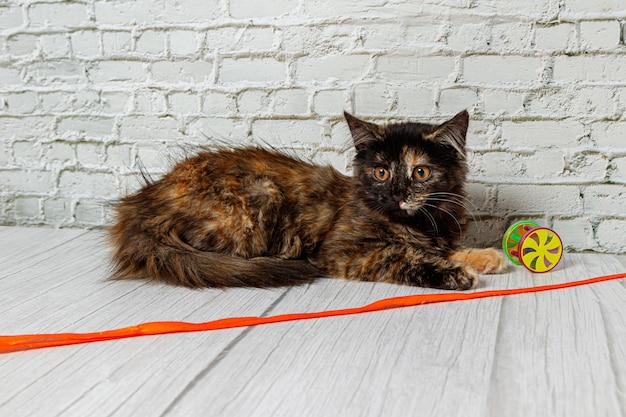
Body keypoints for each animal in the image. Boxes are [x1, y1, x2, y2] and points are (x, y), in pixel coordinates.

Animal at [109, 109, 504, 290]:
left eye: (420, 172)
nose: (397, 193)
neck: (419, 222)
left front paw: (485, 257)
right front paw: (454, 273)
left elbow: (445, 248)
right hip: (258, 196)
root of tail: (141, 206)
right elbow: (404, 255)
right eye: (381, 172)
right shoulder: (344, 251)